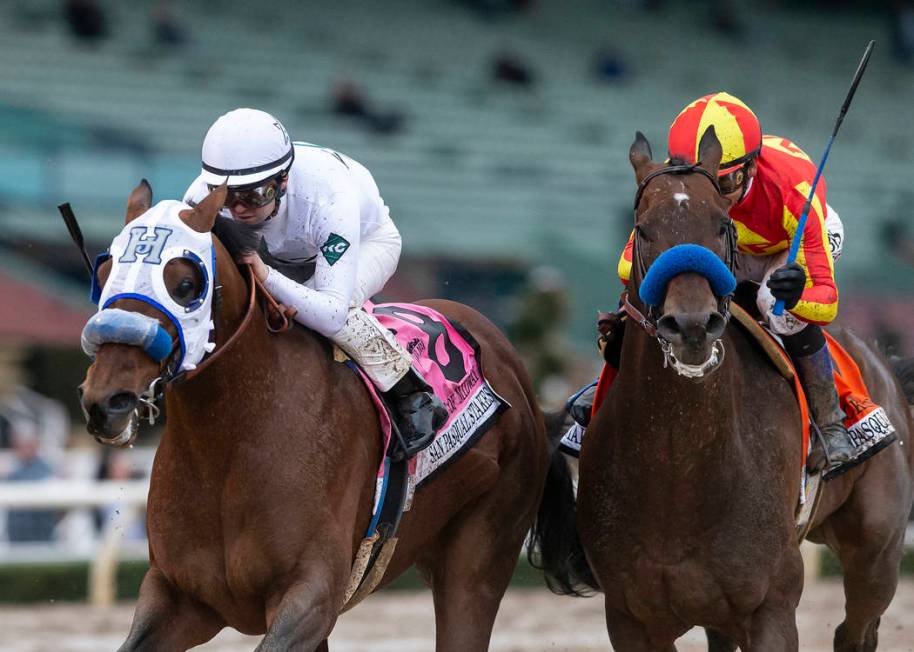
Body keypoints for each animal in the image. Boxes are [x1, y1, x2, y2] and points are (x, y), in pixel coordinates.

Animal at [78, 180, 544, 652]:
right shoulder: (180, 597)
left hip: (478, 558)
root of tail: (508, 357)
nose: (108, 401)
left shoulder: (311, 596)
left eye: (186, 284)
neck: (231, 443)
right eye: (104, 273)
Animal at [528, 129, 912, 652]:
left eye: (720, 225)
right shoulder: (630, 617)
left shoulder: (771, 607)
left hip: (877, 548)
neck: (680, 469)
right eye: (642, 229)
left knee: (856, 628)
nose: (692, 325)